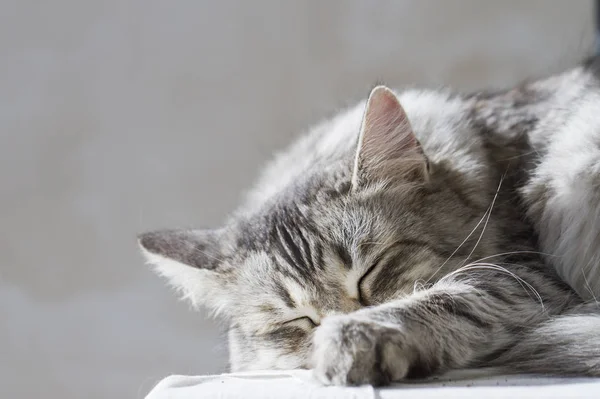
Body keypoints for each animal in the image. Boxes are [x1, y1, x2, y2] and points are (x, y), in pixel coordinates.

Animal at [136, 57, 600, 388]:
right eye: (295, 321)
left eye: (370, 272)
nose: (334, 321)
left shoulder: (526, 276)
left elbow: (446, 298)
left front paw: (350, 338)